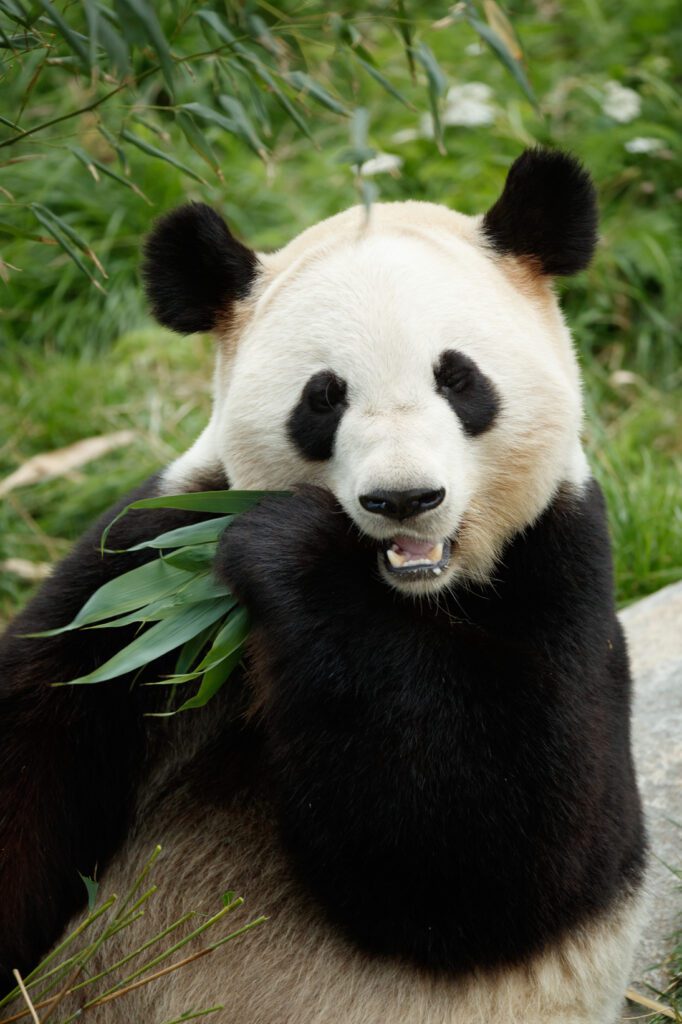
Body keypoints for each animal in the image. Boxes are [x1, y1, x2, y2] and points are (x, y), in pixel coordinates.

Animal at [0, 146, 647, 1024]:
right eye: (324, 395)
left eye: (459, 380)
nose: (404, 498)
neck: (412, 593)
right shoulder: (146, 570)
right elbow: (41, 727)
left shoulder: (558, 566)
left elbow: (501, 852)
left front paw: (291, 551)